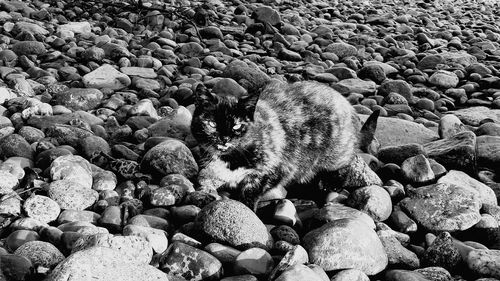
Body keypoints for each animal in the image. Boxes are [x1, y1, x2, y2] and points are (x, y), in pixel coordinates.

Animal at [191, 80, 378, 209]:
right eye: (212, 124)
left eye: (236, 126)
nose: (224, 138)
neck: (231, 159)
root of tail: (348, 106)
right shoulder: (210, 170)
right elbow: (204, 181)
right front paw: (205, 196)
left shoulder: (277, 168)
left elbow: (251, 189)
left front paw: (245, 207)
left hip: (335, 154)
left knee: (346, 163)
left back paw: (330, 184)